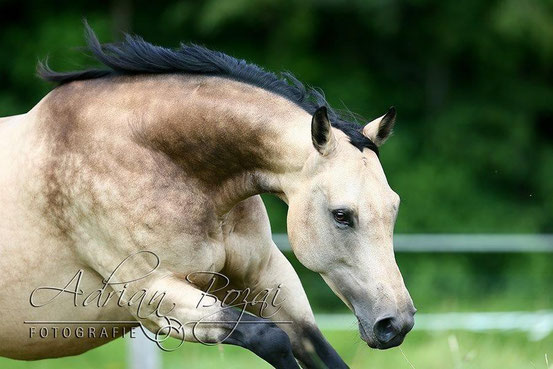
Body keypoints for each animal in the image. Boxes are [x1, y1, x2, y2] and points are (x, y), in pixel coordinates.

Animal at [0, 25, 414, 368]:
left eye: (394, 208)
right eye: (341, 215)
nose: (396, 323)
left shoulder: (266, 275)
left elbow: (314, 346)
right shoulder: (154, 295)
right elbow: (272, 340)